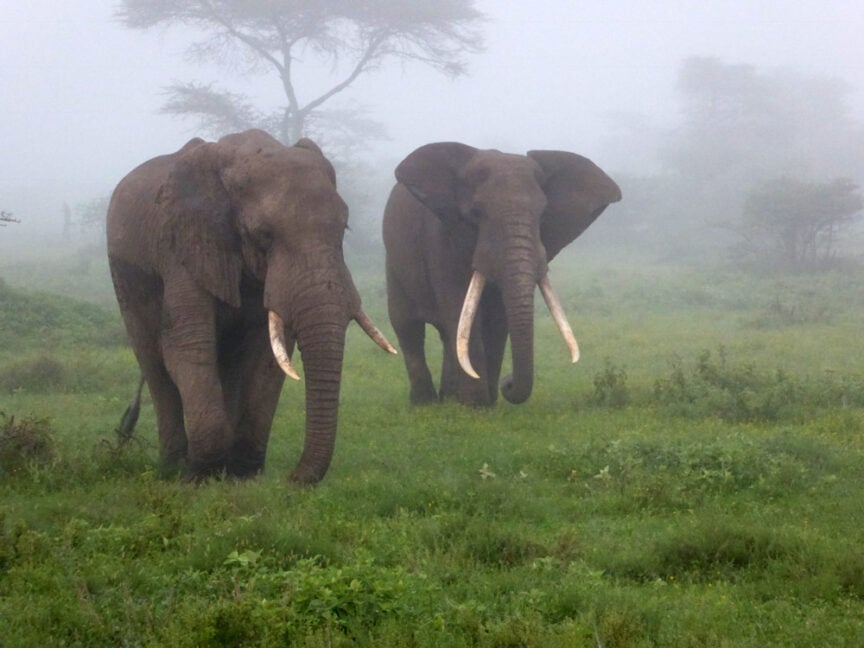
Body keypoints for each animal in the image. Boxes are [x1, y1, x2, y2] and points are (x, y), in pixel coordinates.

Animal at [107, 129, 395, 484]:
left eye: (344, 228)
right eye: (263, 235)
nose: (293, 478)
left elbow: (268, 355)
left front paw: (242, 476)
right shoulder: (182, 251)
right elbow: (187, 348)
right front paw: (198, 476)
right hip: (126, 280)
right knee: (154, 363)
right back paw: (172, 468)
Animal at [383, 142, 621, 407]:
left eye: (543, 215)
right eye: (476, 213)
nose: (507, 383)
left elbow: (497, 319)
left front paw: (487, 404)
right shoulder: (440, 236)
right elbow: (460, 310)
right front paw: (475, 407)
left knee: (447, 334)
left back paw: (449, 398)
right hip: (394, 262)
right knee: (408, 326)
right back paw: (425, 404)